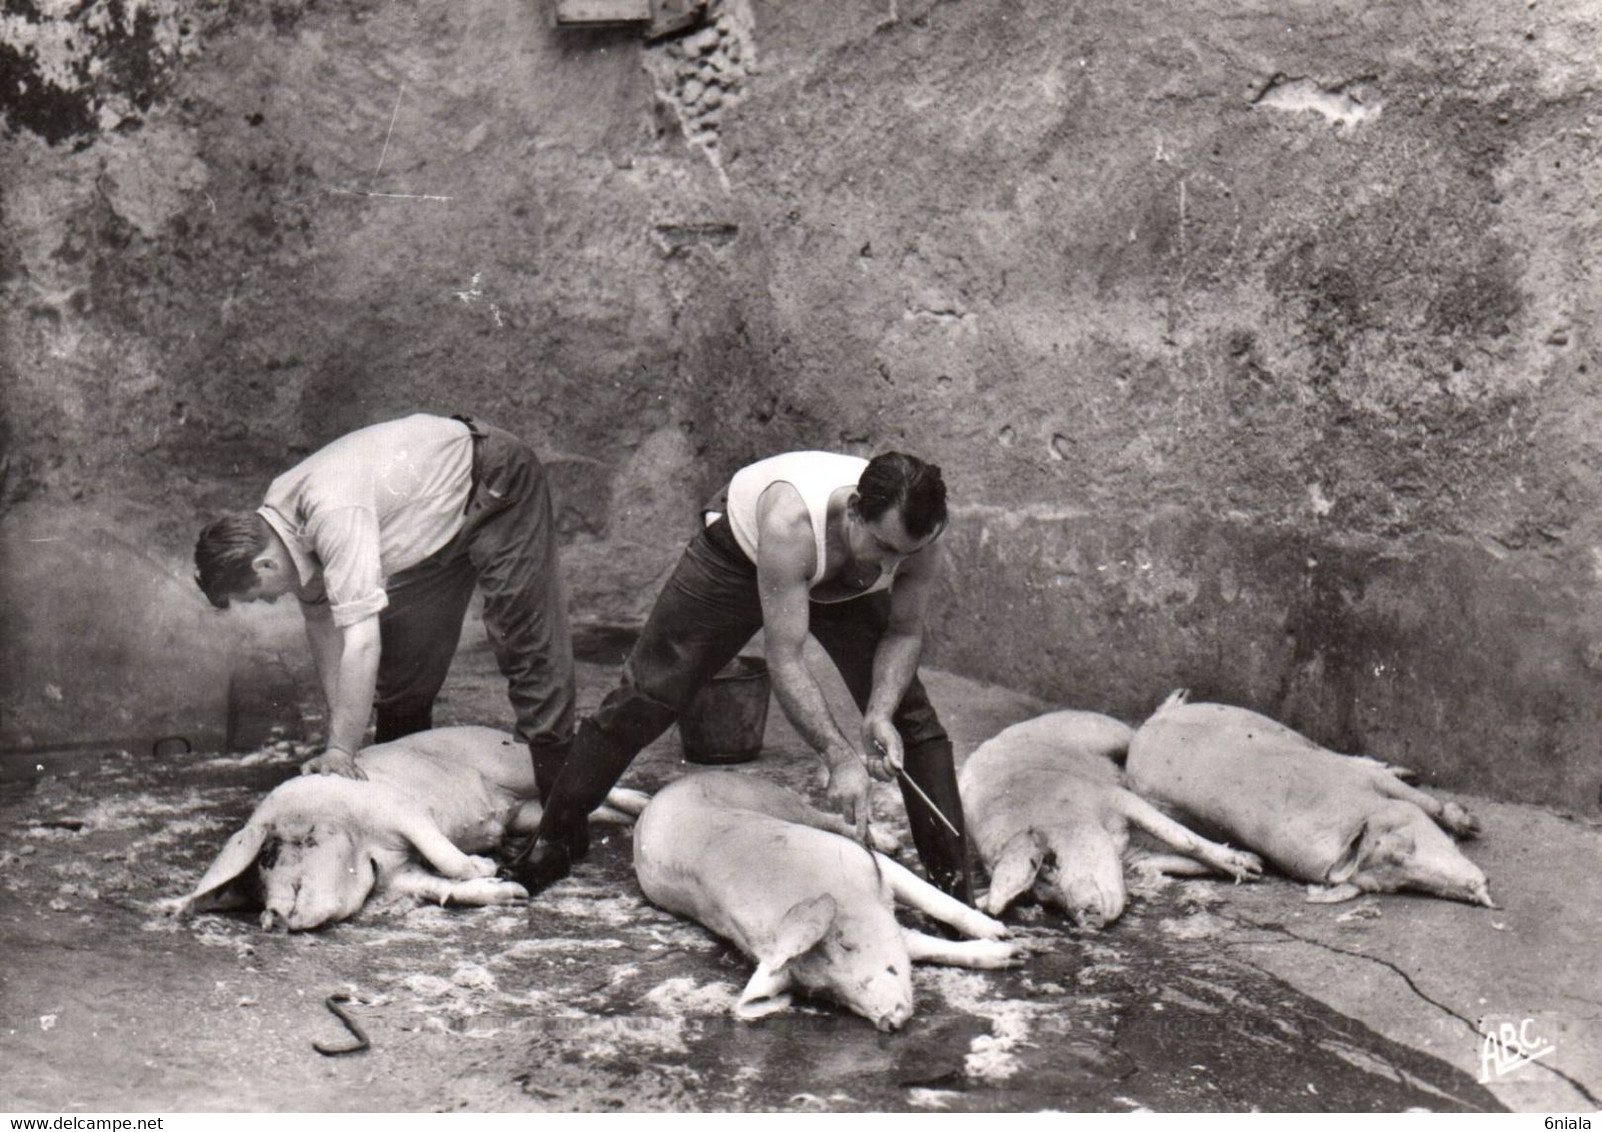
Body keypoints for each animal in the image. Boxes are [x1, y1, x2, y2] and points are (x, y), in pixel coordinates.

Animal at [634, 774, 1018, 1031]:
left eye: (845, 946)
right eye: (825, 992)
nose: (888, 1021)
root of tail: (664, 792)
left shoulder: (868, 863)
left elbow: (934, 899)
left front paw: (1003, 934)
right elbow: (919, 945)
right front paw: (1012, 953)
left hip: (779, 801)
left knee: (837, 819)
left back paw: (890, 840)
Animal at [961, 707, 1262, 928]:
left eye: (1051, 862)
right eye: (1041, 896)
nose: (1086, 918)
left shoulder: (1111, 796)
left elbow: (1182, 838)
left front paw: (1250, 866)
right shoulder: (1125, 847)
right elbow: (1157, 859)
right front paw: (1250, 867)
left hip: (1103, 729)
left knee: (1136, 730)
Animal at [1121, 694, 1493, 909]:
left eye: (1407, 847)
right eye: (1397, 879)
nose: (1478, 888)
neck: (1354, 816)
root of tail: (1146, 728)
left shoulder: (1360, 781)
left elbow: (1424, 803)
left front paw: (1471, 824)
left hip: (1253, 718)